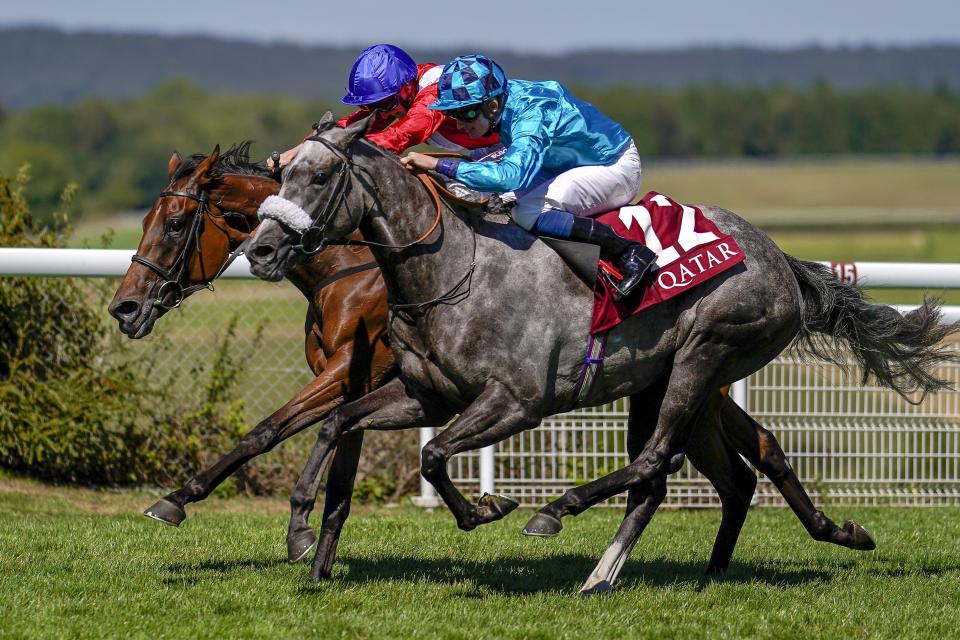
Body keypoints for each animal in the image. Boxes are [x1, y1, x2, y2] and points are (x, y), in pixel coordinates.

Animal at [248, 111, 952, 596]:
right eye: (280, 172)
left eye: (319, 175)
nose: (261, 249)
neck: (453, 271)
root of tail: (781, 258)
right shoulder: (426, 394)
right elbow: (341, 422)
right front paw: (301, 528)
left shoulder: (518, 402)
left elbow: (434, 454)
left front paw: (487, 508)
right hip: (672, 381)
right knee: (712, 471)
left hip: (705, 353)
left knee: (657, 460)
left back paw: (558, 513)